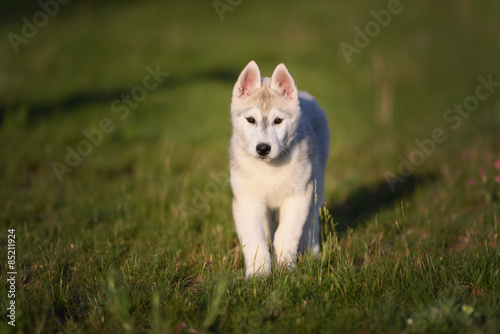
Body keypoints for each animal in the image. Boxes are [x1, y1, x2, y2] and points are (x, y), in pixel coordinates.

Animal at [229, 60, 330, 276]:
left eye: (278, 120)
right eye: (251, 119)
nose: (263, 148)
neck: (269, 168)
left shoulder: (298, 196)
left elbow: (286, 234)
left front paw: (285, 268)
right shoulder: (247, 200)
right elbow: (255, 240)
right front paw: (258, 274)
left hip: (316, 184)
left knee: (311, 223)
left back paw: (312, 253)